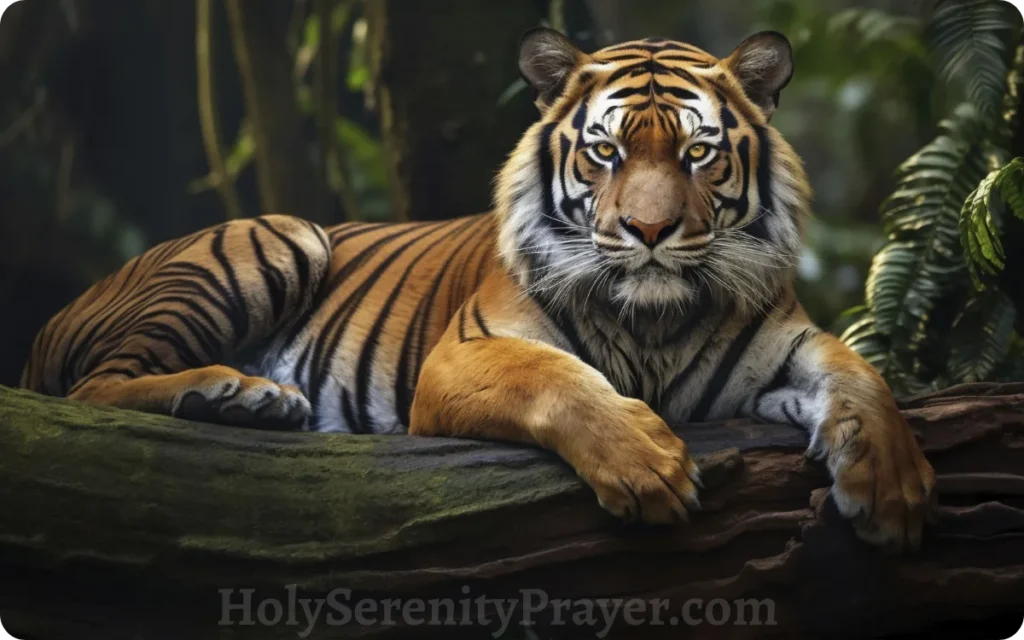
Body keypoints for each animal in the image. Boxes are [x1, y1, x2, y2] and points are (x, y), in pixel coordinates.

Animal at [20, 27, 935, 551]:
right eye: (606, 153)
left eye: (697, 153)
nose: (648, 231)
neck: (649, 323)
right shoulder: (466, 354)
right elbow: (560, 382)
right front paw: (647, 466)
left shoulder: (787, 345)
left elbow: (863, 377)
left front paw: (891, 486)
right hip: (279, 235)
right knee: (95, 390)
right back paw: (236, 393)